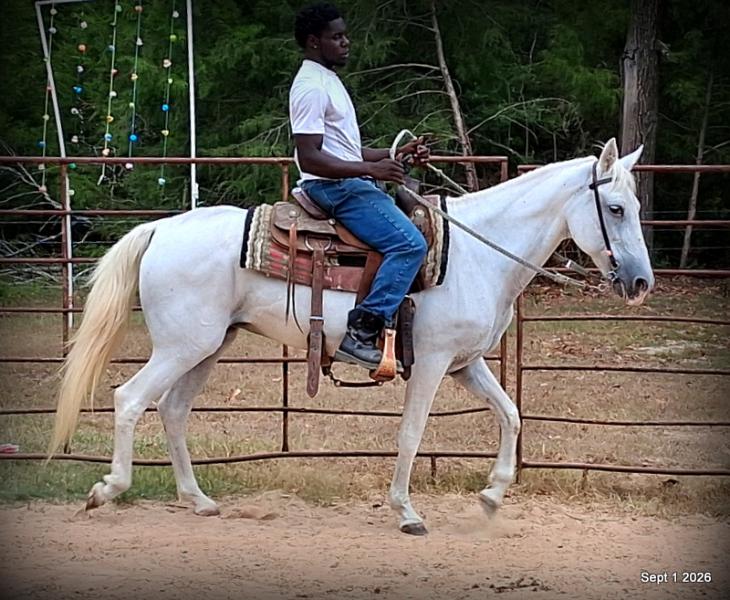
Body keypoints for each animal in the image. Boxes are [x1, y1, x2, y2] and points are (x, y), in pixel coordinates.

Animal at [50, 138, 654, 535]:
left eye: (636, 207)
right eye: (616, 208)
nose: (641, 282)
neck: (476, 253)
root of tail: (160, 228)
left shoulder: (467, 363)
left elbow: (511, 415)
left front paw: (490, 497)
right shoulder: (432, 363)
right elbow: (411, 434)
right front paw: (406, 512)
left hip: (209, 345)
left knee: (173, 410)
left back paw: (198, 500)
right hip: (182, 346)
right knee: (130, 399)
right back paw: (107, 490)